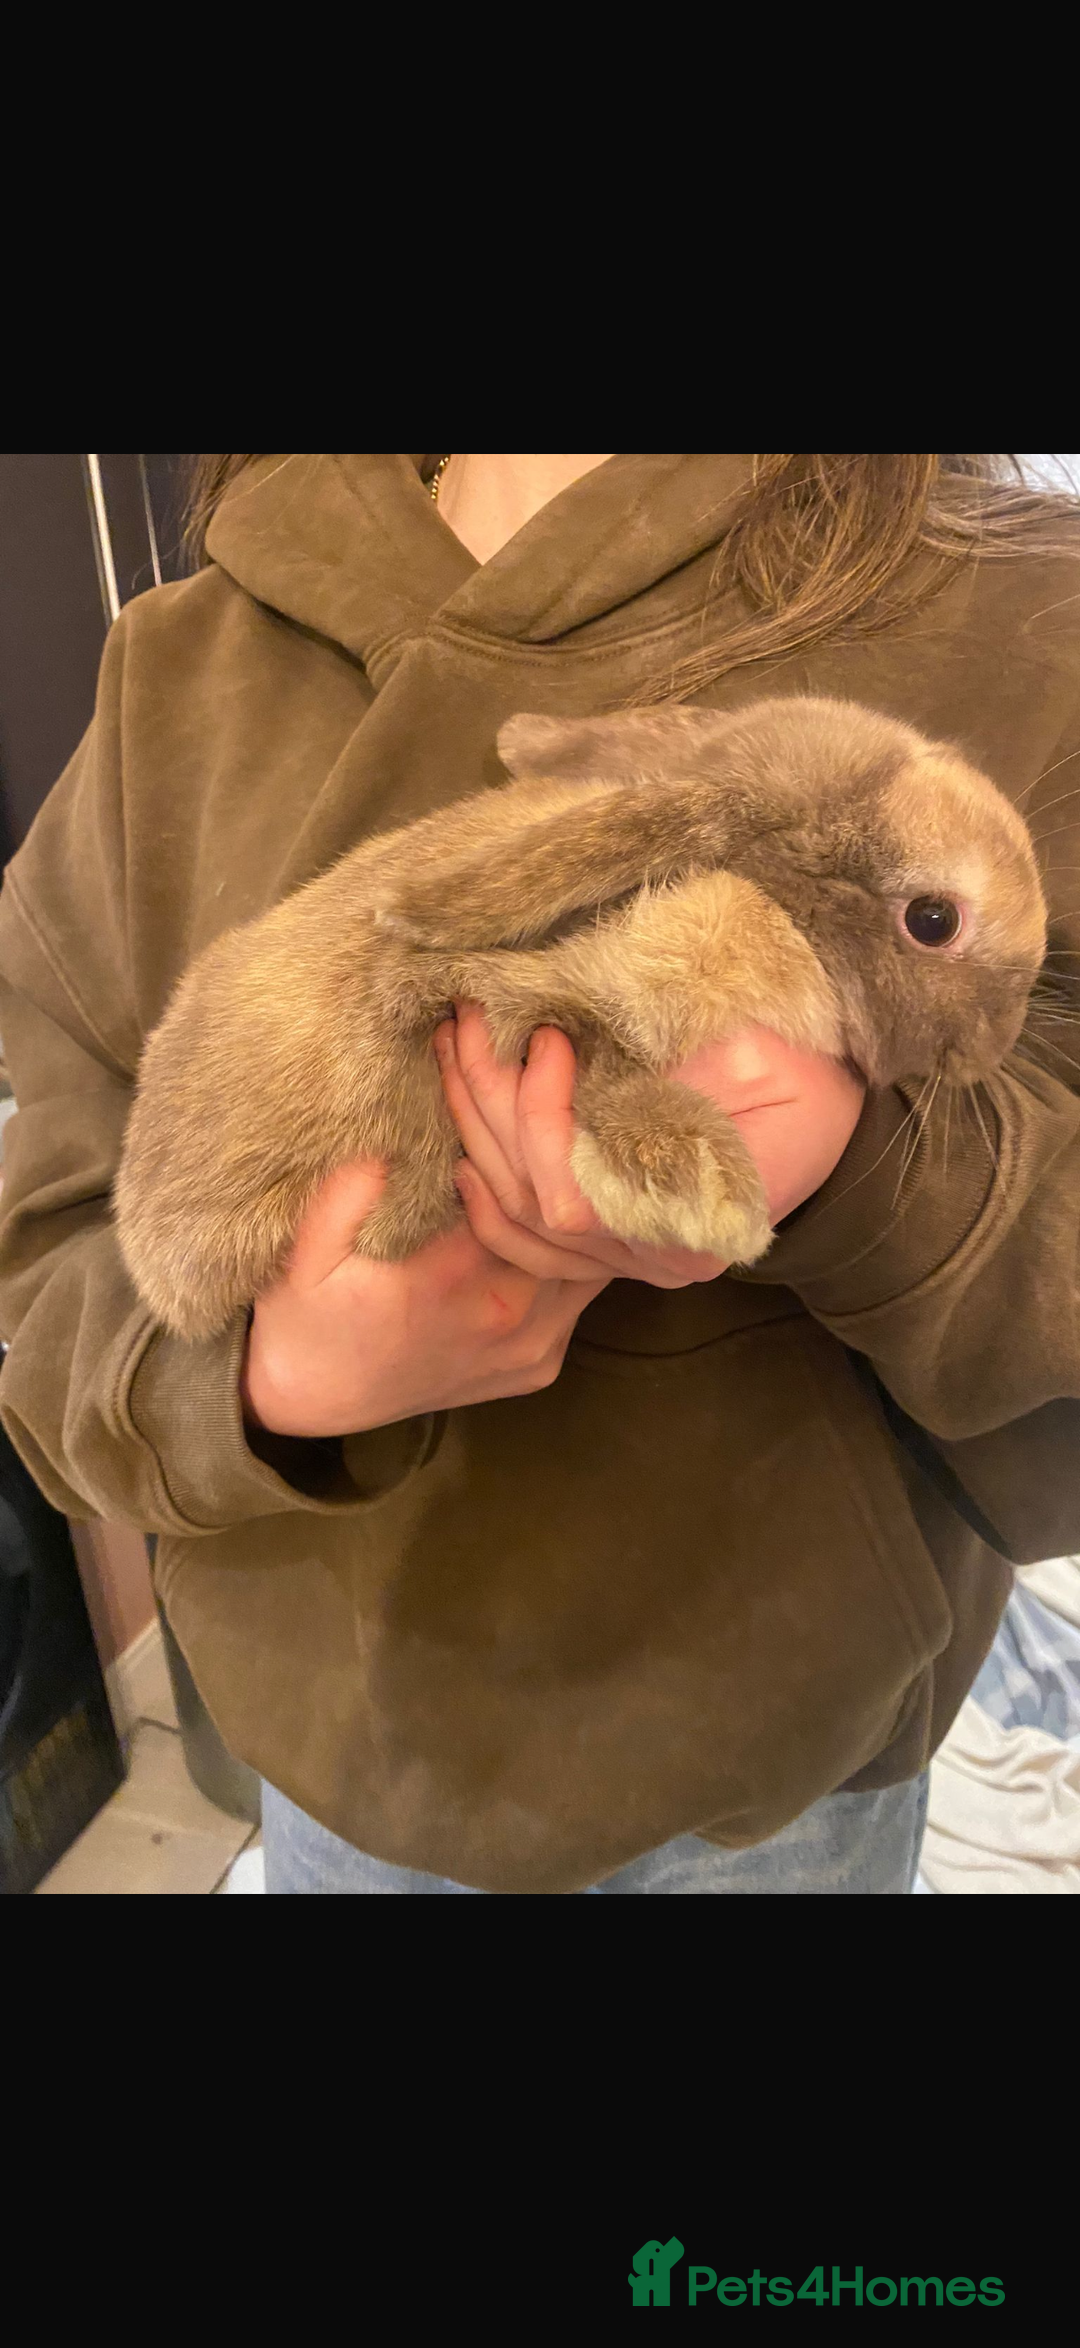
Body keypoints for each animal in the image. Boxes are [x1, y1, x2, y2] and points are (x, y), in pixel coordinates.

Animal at [113, 695, 1048, 1342]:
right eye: (933, 920)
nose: (991, 1049)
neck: (776, 909)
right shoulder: (548, 996)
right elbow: (584, 1039)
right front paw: (705, 1185)